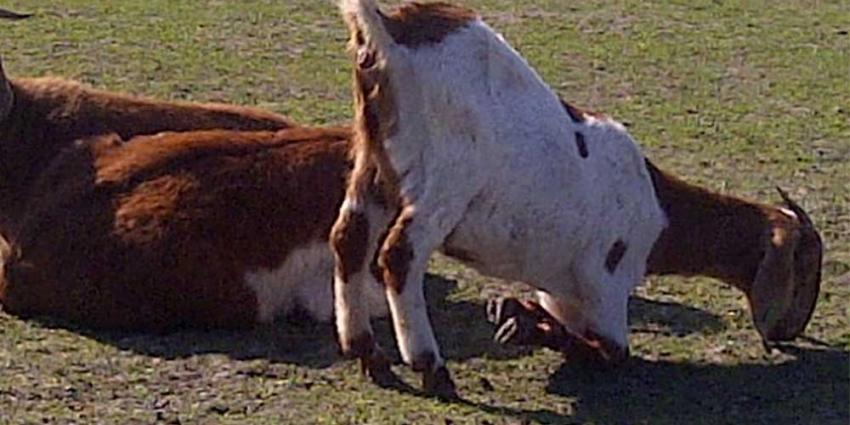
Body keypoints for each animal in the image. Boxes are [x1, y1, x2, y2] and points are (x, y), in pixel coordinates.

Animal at [328, 0, 820, 398]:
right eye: (805, 266)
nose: (791, 330)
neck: (658, 212)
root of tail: (390, 32)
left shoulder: (560, 291)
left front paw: (515, 314)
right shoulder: (605, 281)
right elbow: (613, 351)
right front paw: (520, 324)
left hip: (373, 166)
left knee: (348, 238)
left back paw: (368, 354)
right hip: (445, 179)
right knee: (398, 255)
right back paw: (430, 367)